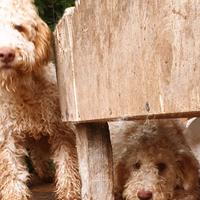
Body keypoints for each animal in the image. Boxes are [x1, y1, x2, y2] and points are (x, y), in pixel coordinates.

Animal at [0, 0, 80, 199]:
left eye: (19, 27)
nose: (6, 53)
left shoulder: (61, 130)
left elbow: (67, 164)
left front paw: (69, 193)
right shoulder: (7, 136)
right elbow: (12, 172)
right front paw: (15, 194)